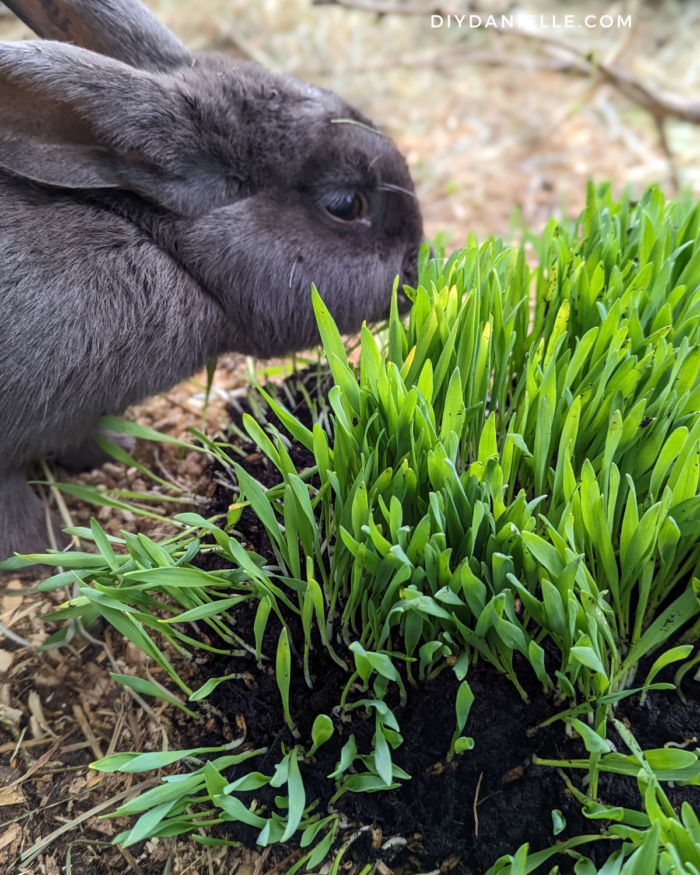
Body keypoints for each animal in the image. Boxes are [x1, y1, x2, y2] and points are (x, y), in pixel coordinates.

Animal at [0, 0, 422, 560]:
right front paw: (42, 551)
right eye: (346, 204)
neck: (159, 245)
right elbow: (13, 507)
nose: (419, 264)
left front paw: (116, 451)